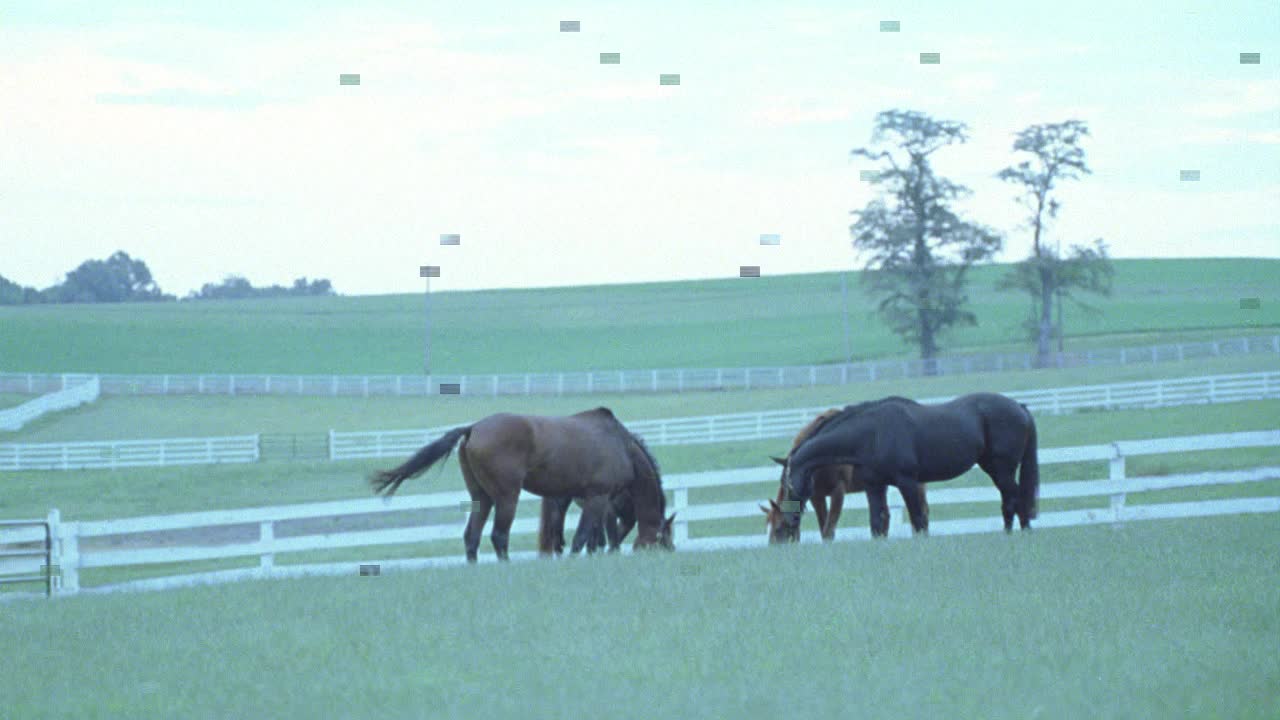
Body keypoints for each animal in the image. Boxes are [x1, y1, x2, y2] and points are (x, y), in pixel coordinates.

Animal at [368, 404, 675, 561]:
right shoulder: (598, 497)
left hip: (481, 498)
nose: (670, 551)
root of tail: (473, 428)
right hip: (507, 497)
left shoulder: (588, 500)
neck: (621, 445)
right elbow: (583, 538)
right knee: (498, 535)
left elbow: (584, 537)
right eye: (665, 535)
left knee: (472, 536)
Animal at [778, 392, 1039, 538]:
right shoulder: (875, 487)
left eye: (788, 484)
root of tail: (1020, 407)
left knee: (1015, 499)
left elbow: (918, 520)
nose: (789, 519)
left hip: (1002, 470)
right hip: (994, 469)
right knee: (1010, 501)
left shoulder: (908, 483)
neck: (871, 433)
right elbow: (877, 523)